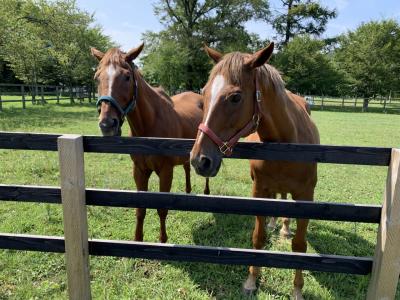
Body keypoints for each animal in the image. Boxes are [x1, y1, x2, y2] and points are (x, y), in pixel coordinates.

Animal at [90, 42, 209, 244]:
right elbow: (140, 210)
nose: (107, 124)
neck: (149, 126)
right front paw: (138, 239)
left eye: (127, 77)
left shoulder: (165, 172)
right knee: (186, 167)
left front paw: (163, 240)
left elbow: (161, 209)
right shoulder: (139, 171)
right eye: (97, 77)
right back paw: (187, 190)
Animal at [190, 42, 318, 300]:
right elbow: (258, 238)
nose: (199, 160)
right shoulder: (259, 191)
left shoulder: (305, 197)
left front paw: (297, 289)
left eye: (235, 97)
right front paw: (251, 279)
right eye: (204, 92)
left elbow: (300, 246)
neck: (288, 141)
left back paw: (284, 227)